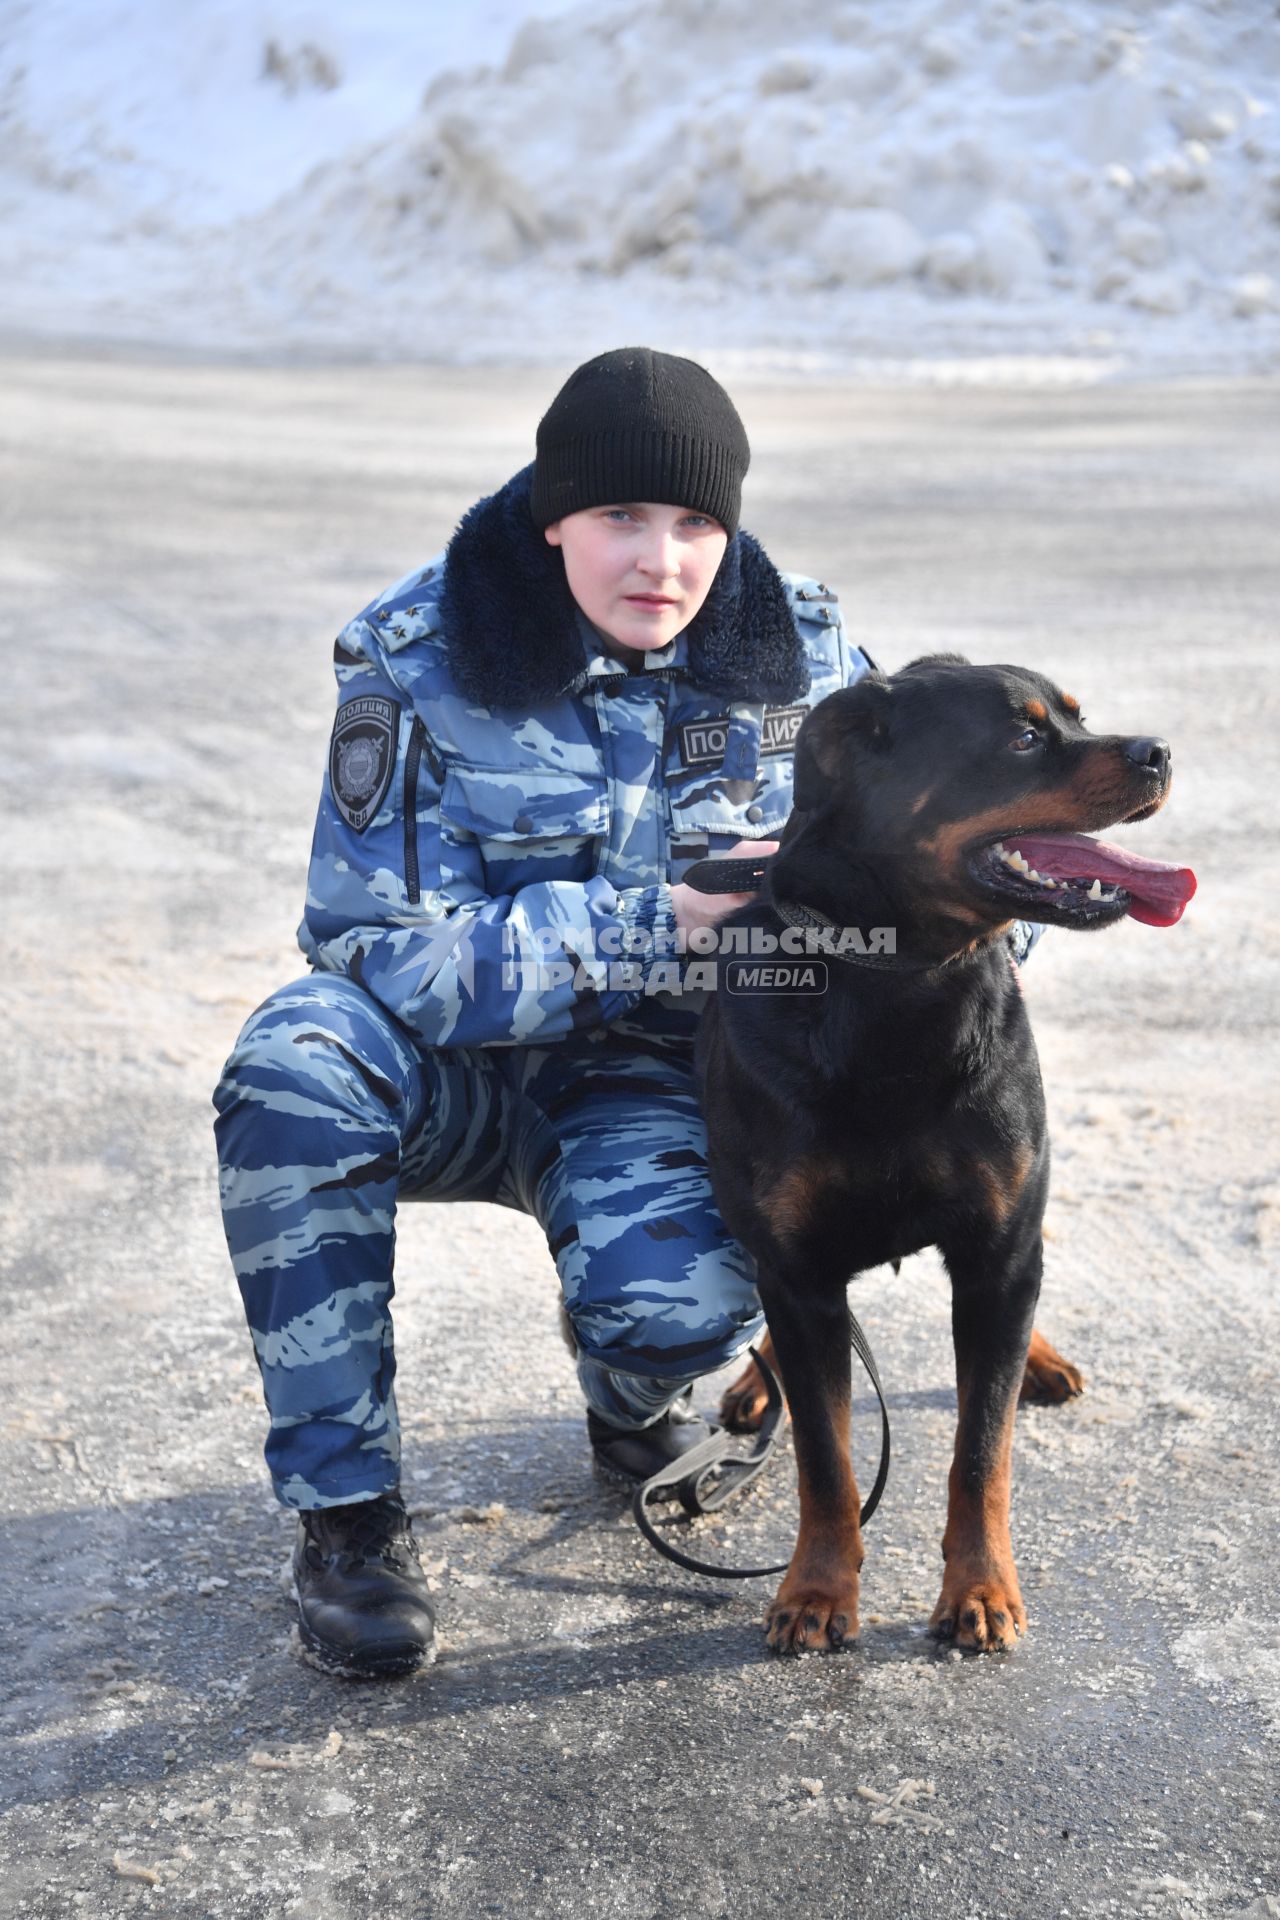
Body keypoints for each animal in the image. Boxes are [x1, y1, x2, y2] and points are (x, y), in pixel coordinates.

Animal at [694, 656, 1197, 1651]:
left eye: (1078, 715)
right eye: (1025, 737)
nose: (1159, 749)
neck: (903, 988)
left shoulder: (996, 1248)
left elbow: (981, 1449)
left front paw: (981, 1590)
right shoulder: (800, 1270)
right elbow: (825, 1456)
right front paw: (816, 1590)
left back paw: (1039, 1358)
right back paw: (755, 1385)